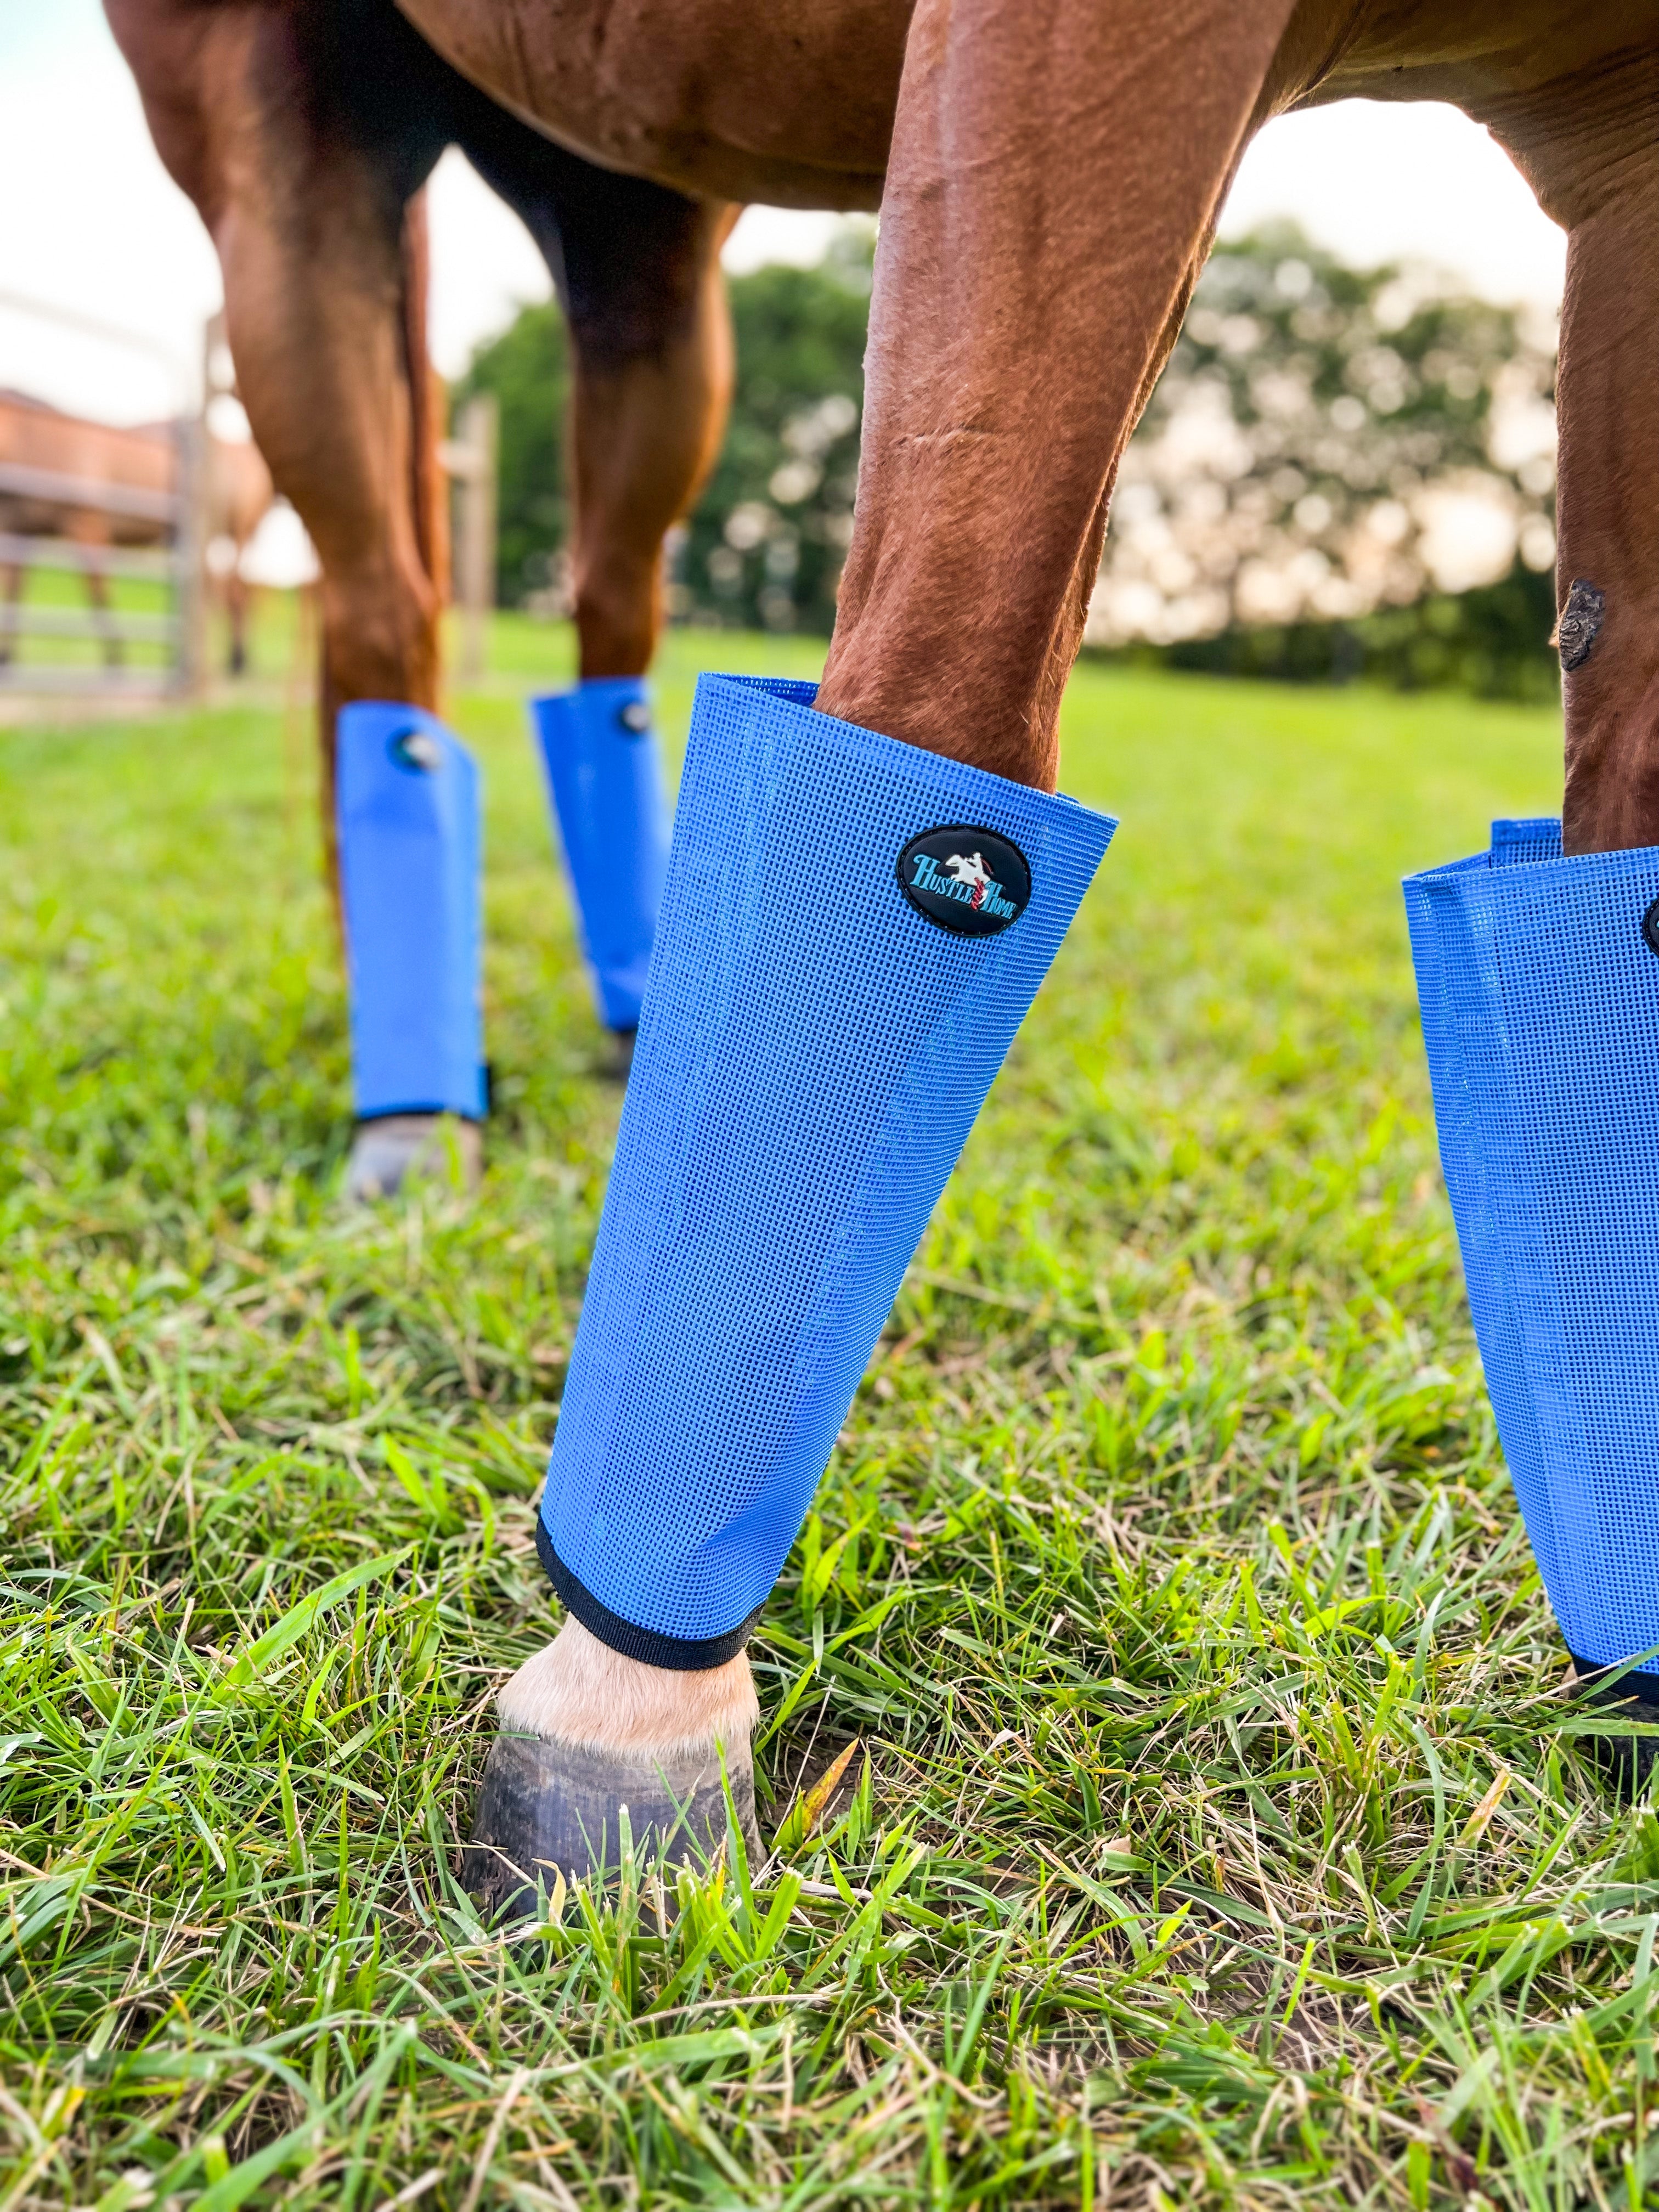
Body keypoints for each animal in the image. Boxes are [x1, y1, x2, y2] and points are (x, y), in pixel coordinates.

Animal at [103, 0, 1659, 1889]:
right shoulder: (1085, 56)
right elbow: (939, 696)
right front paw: (631, 1716)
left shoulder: (1628, 154)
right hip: (274, 112)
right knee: (382, 606)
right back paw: (412, 1111)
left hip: (636, 230)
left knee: (601, 617)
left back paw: (615, 1015)